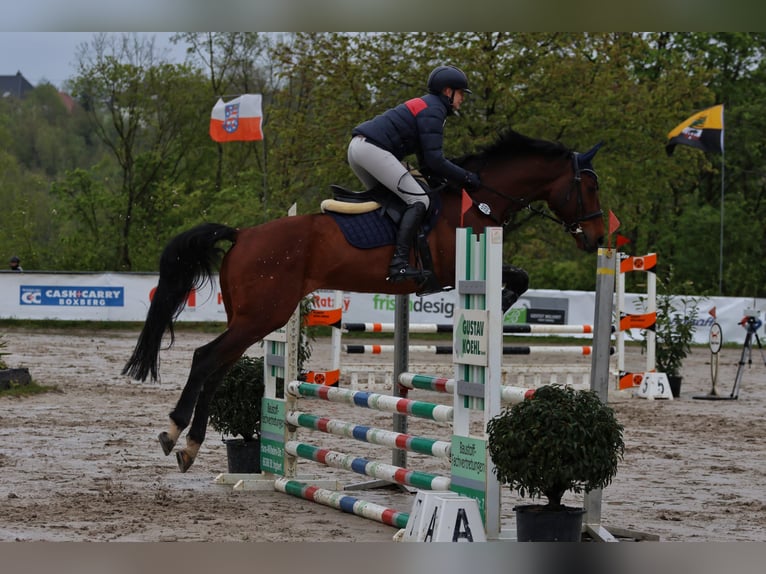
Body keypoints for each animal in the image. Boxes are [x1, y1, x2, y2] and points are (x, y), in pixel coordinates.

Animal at [124, 129, 608, 472]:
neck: (480, 199)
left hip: (253, 318)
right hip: (264, 314)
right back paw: (174, 433)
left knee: (219, 368)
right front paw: (502, 301)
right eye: (590, 188)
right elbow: (517, 277)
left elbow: (520, 276)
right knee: (206, 359)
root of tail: (243, 234)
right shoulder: (456, 265)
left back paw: (190, 445)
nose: (601, 236)